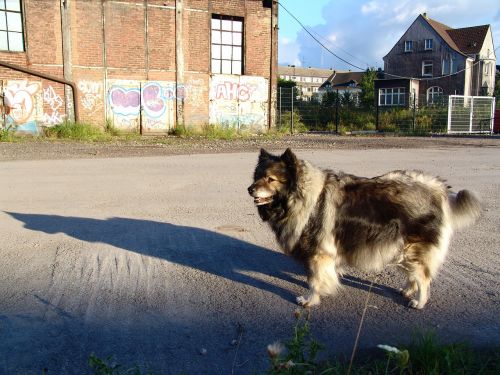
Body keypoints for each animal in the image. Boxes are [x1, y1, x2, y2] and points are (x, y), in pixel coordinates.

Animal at [248, 148, 482, 310]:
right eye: (257, 177)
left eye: (270, 179)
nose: (250, 189)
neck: (305, 198)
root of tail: (438, 188)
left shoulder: (318, 255)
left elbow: (314, 281)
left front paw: (310, 301)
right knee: (415, 275)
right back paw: (407, 290)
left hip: (412, 249)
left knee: (423, 277)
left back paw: (419, 302)